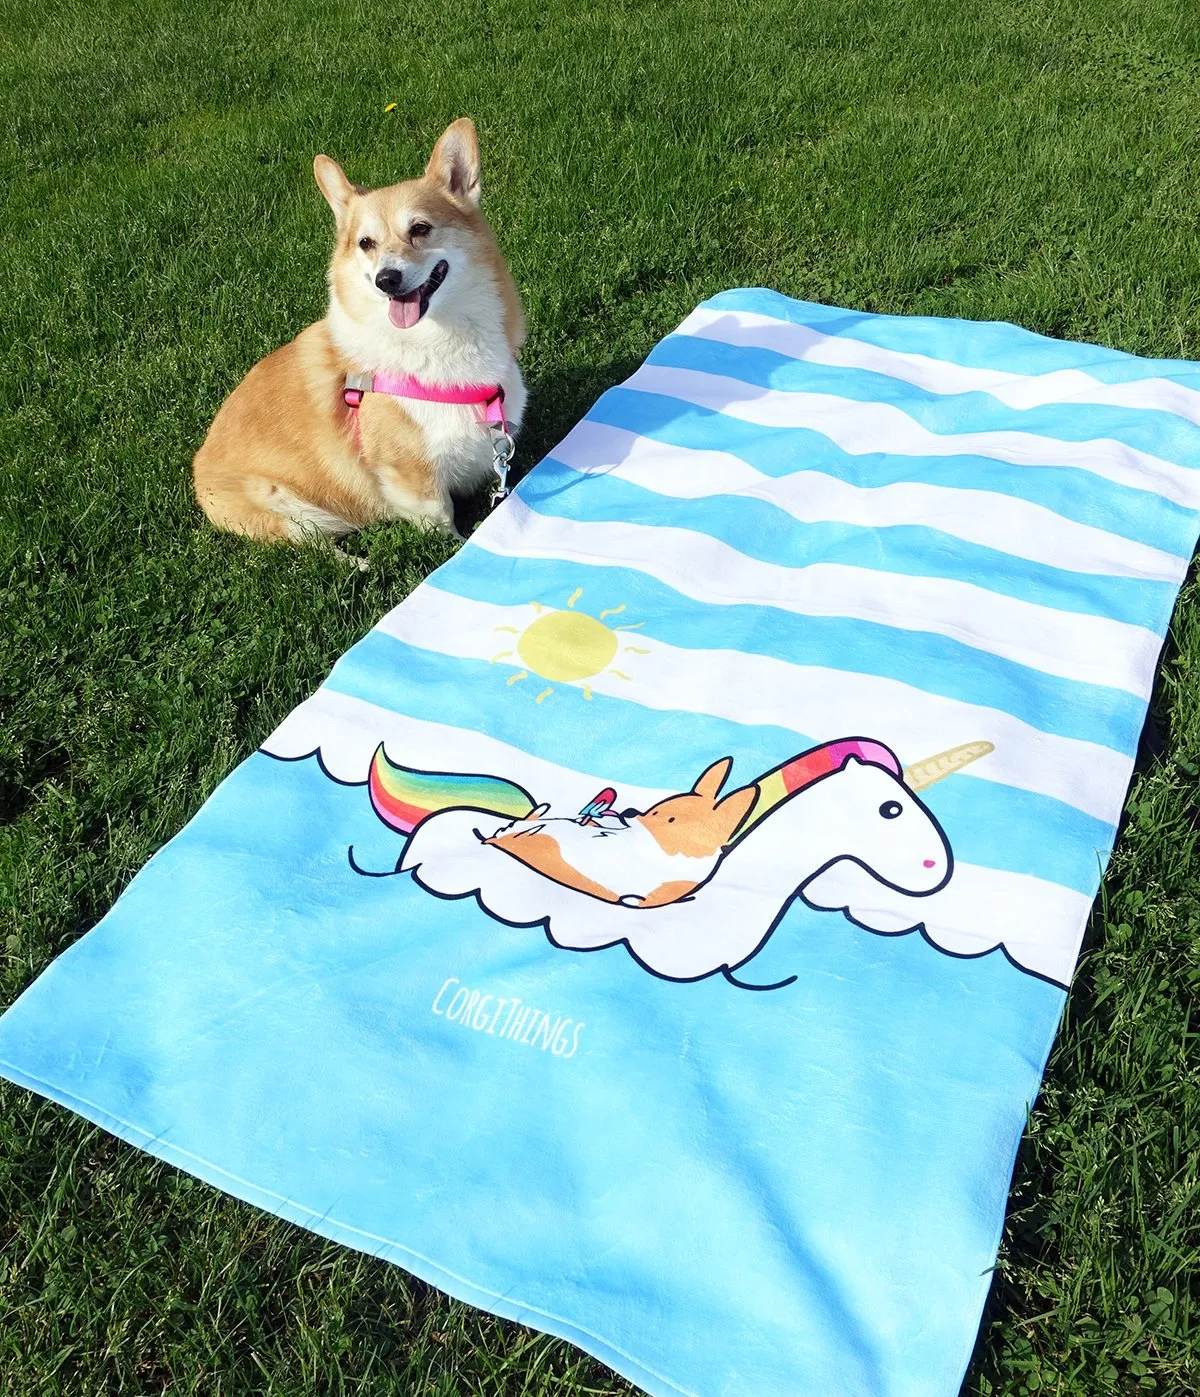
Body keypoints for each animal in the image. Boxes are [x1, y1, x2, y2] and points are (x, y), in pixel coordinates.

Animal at [192, 117, 525, 542]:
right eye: (366, 243)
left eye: (420, 228)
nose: (387, 279)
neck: (440, 338)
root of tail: (198, 469)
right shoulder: (414, 481)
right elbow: (445, 528)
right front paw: (460, 547)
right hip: (293, 516)